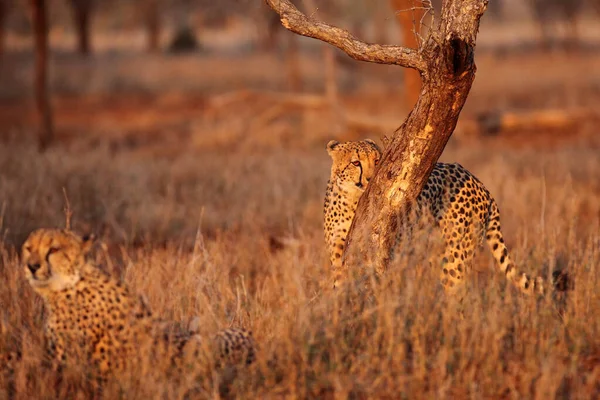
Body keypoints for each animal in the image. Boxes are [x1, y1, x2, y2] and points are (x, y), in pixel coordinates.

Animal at [326, 139, 548, 296]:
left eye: (377, 161)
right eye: (355, 163)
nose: (371, 179)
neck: (352, 198)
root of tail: (481, 184)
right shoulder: (339, 246)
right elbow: (338, 275)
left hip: (456, 256)